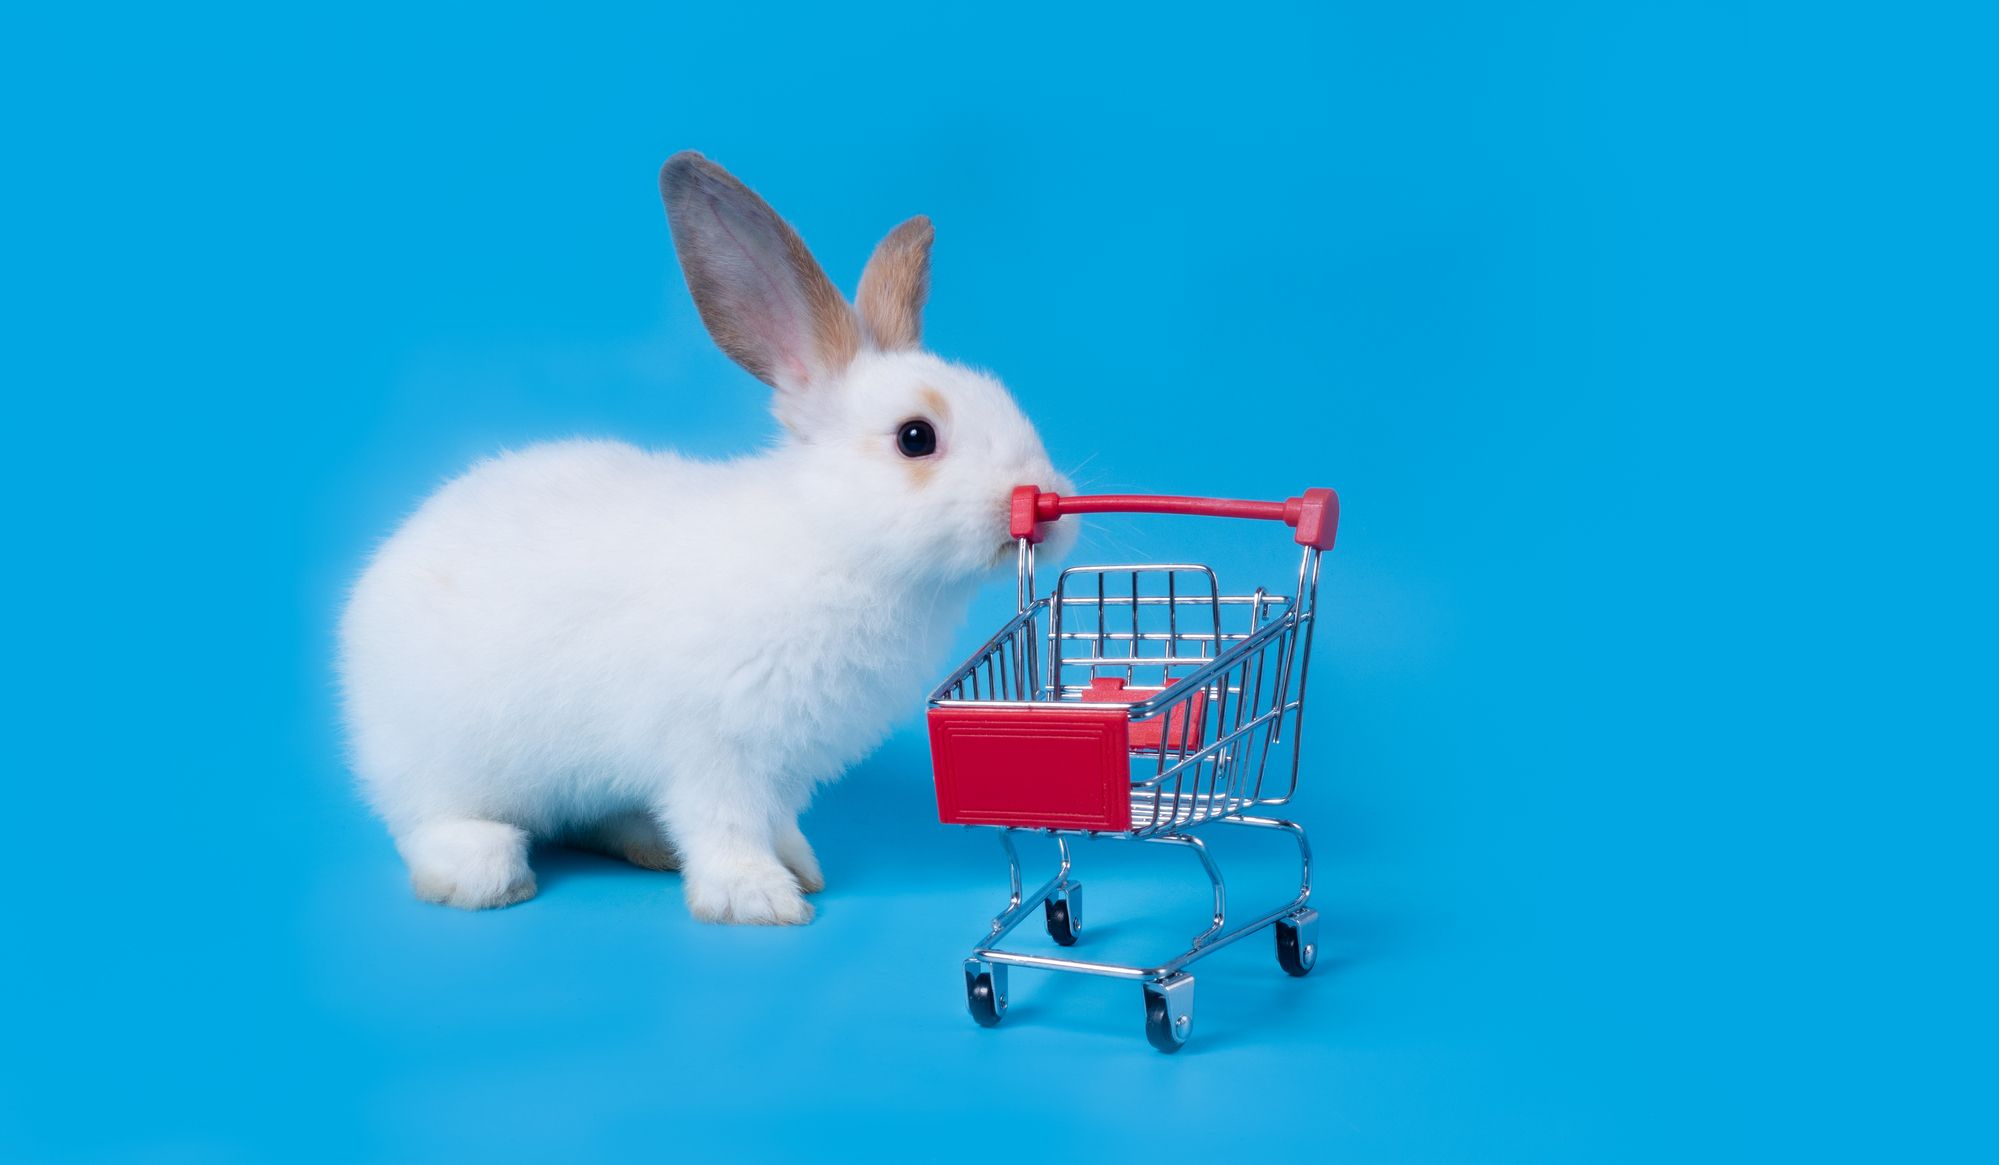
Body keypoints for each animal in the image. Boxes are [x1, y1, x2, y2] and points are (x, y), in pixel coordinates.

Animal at [335, 152, 1071, 919]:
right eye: (915, 438)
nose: (1046, 505)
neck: (833, 541)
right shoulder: (715, 752)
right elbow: (725, 825)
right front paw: (761, 899)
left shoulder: (782, 768)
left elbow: (775, 821)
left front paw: (800, 866)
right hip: (439, 766)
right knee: (428, 825)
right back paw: (487, 872)